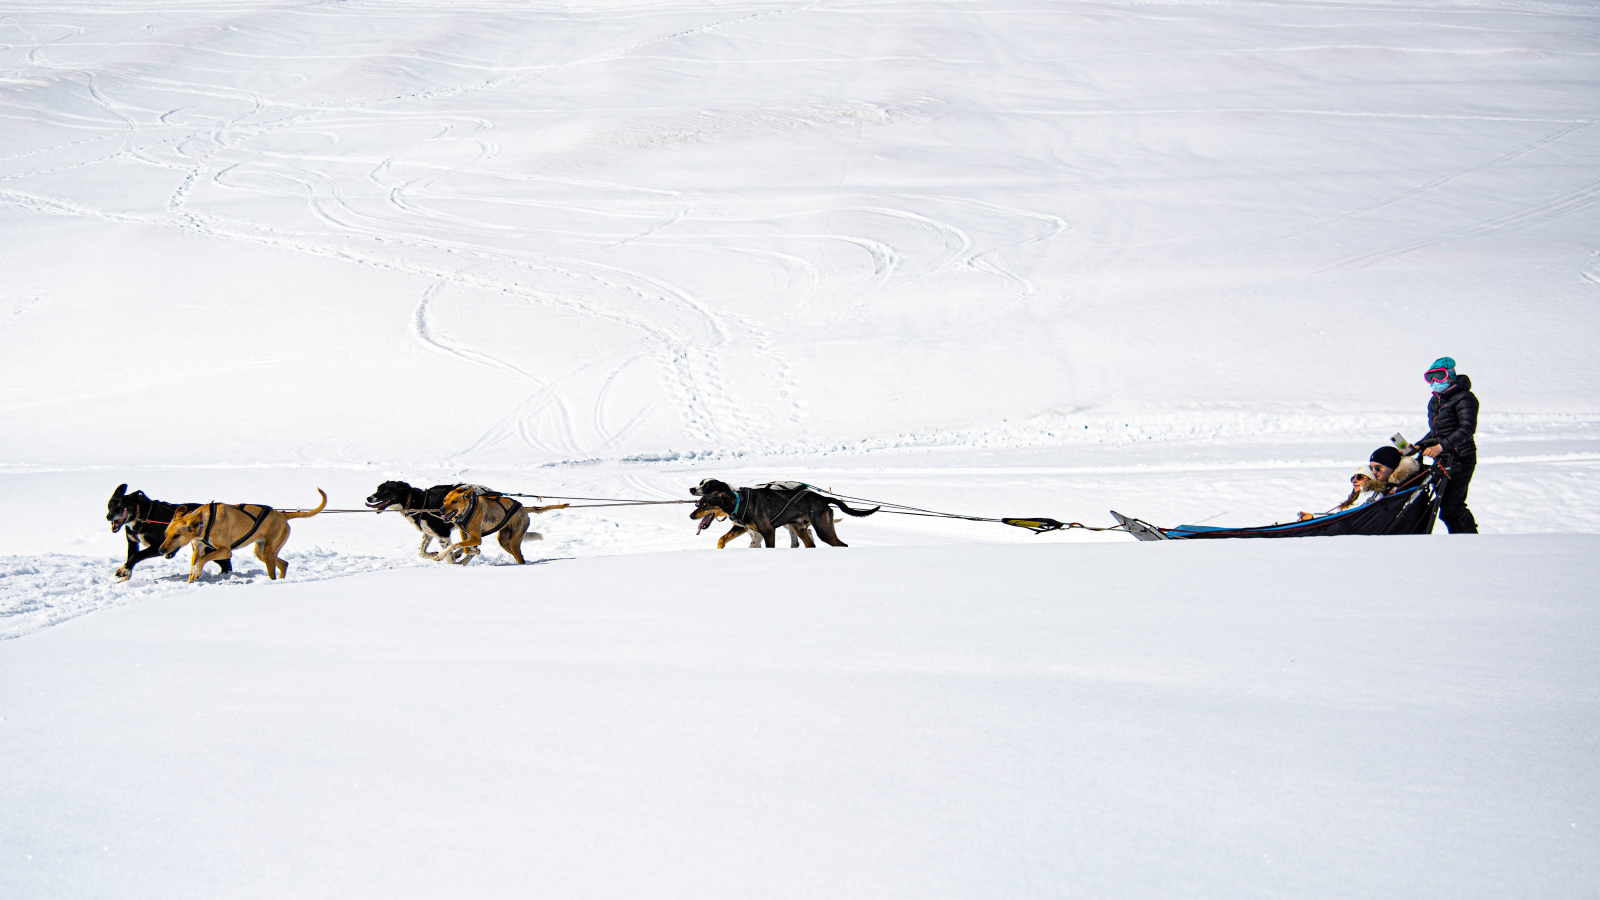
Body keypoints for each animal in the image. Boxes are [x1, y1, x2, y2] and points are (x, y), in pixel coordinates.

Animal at [162, 486, 328, 576]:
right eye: (166, 534)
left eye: (176, 535)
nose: (161, 549)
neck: (204, 521)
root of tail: (282, 515)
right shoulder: (198, 548)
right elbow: (195, 562)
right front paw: (193, 576)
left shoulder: (225, 550)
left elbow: (203, 559)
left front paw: (197, 571)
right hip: (262, 551)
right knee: (284, 564)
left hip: (269, 550)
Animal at [435, 483, 566, 560]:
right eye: (444, 500)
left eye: (454, 501)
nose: (441, 509)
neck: (468, 510)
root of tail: (523, 508)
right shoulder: (465, 533)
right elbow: (466, 548)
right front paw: (474, 551)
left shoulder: (477, 538)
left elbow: (454, 544)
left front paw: (441, 554)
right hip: (504, 541)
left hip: (514, 540)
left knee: (520, 557)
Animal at [691, 477, 883, 547]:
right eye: (699, 503)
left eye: (707, 486)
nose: (691, 489)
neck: (739, 501)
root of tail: (823, 497)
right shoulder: (743, 529)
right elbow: (721, 539)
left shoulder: (766, 532)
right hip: (798, 527)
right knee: (808, 542)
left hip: (821, 530)